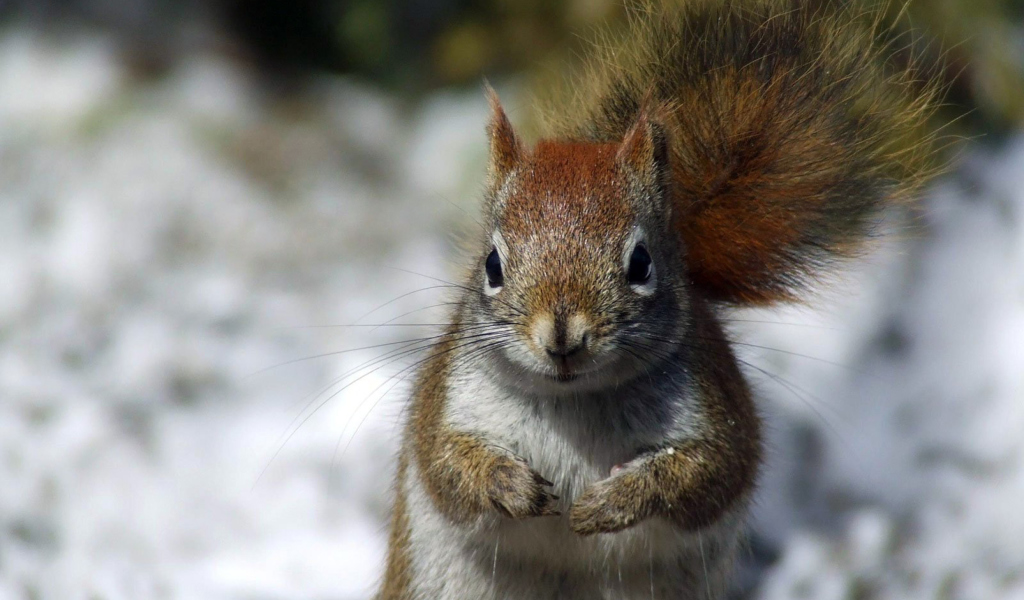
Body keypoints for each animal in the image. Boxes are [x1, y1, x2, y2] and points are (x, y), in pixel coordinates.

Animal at [374, 2, 937, 593]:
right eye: (491, 265)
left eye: (641, 263)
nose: (562, 337)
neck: (576, 402)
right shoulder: (445, 401)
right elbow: (447, 465)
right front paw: (509, 483)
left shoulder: (717, 412)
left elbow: (704, 475)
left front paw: (617, 499)